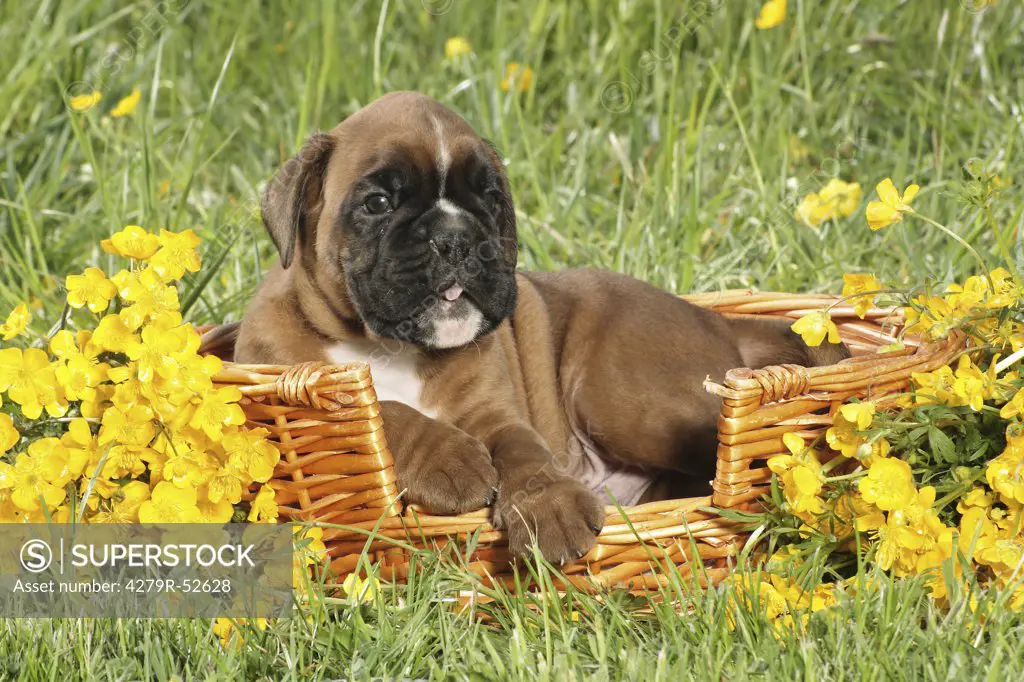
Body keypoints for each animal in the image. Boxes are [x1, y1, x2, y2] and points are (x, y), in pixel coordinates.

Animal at [234, 93, 847, 561]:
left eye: (489, 198)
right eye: (378, 201)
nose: (457, 237)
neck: (388, 347)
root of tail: (713, 317)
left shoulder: (497, 416)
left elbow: (525, 455)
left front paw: (549, 505)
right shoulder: (287, 374)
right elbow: (384, 408)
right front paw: (451, 459)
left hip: (618, 397)